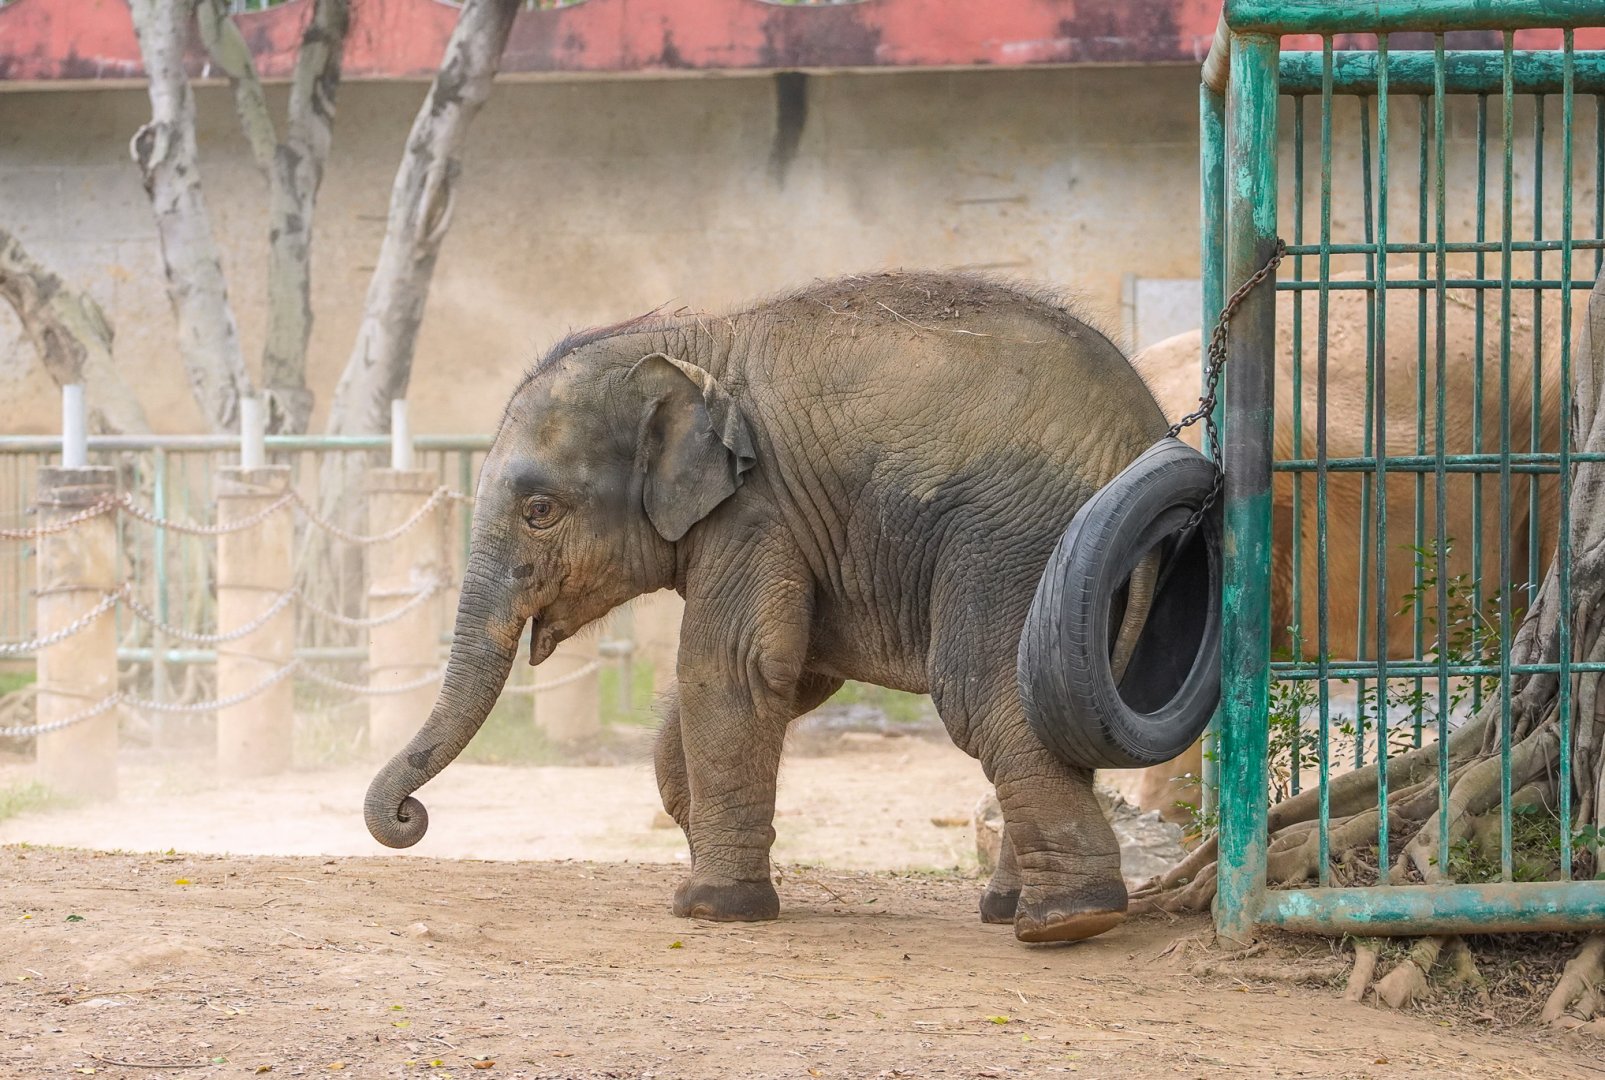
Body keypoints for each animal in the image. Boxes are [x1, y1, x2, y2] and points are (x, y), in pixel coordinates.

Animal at [364, 271, 1176, 944]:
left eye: (539, 511)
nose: (408, 817)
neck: (690, 345)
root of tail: (1147, 435)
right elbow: (787, 675)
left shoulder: (756, 509)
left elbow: (733, 666)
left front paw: (711, 909)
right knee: (1056, 704)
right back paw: (1016, 909)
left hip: (1016, 536)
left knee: (987, 692)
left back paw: (1066, 922)